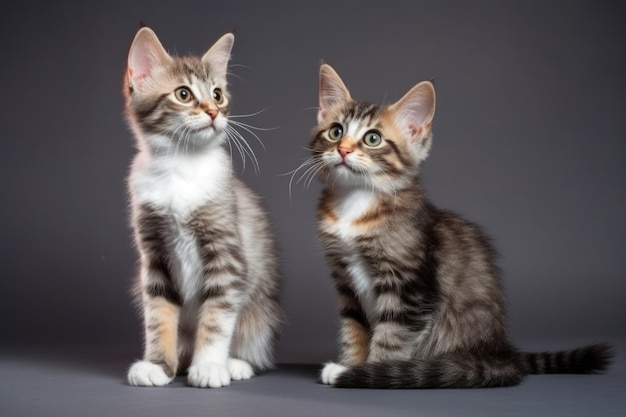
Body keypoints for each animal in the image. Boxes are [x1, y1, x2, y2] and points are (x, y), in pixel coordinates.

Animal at [121, 27, 280, 388]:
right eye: (183, 94)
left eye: (218, 95)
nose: (213, 112)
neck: (179, 167)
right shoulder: (154, 257)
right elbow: (158, 314)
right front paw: (158, 364)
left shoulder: (227, 255)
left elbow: (217, 318)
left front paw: (208, 366)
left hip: (259, 309)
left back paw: (235, 363)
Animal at [306, 64, 608, 386]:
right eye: (336, 131)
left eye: (373, 138)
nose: (343, 150)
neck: (356, 202)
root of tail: (501, 353)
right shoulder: (345, 282)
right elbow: (354, 329)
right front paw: (350, 363)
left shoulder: (410, 287)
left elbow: (391, 336)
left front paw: (367, 373)